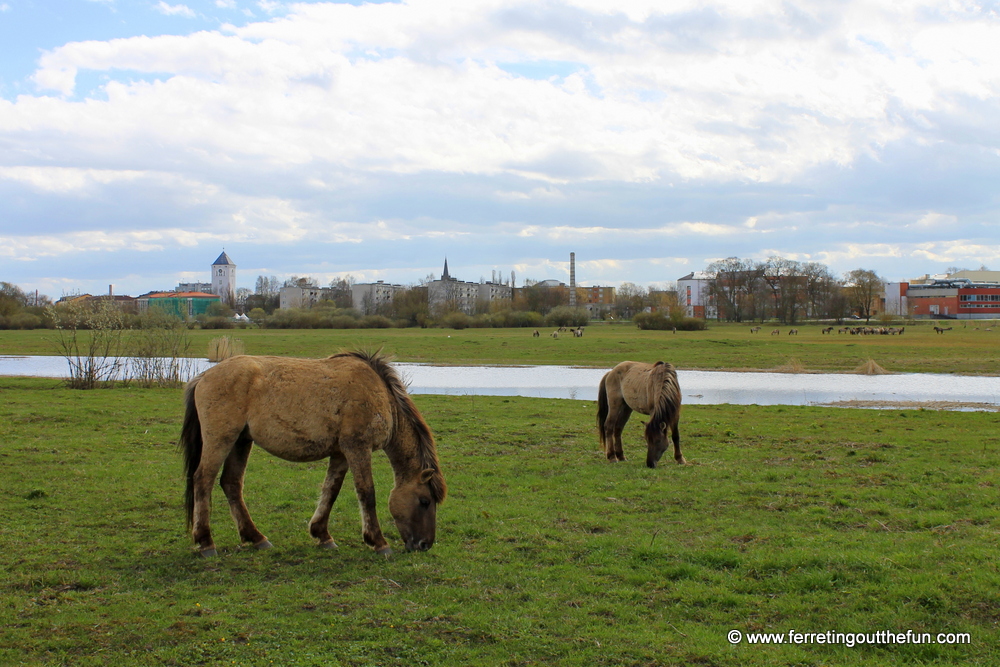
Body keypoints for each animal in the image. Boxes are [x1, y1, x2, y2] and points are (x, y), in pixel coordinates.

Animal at [178, 350, 448, 560]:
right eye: (425, 501)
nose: (424, 544)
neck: (380, 394)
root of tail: (203, 376)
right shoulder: (357, 448)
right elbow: (366, 493)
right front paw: (378, 542)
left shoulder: (341, 453)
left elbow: (331, 491)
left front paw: (322, 535)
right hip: (221, 440)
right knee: (203, 480)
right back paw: (205, 542)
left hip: (241, 441)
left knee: (231, 484)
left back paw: (256, 538)